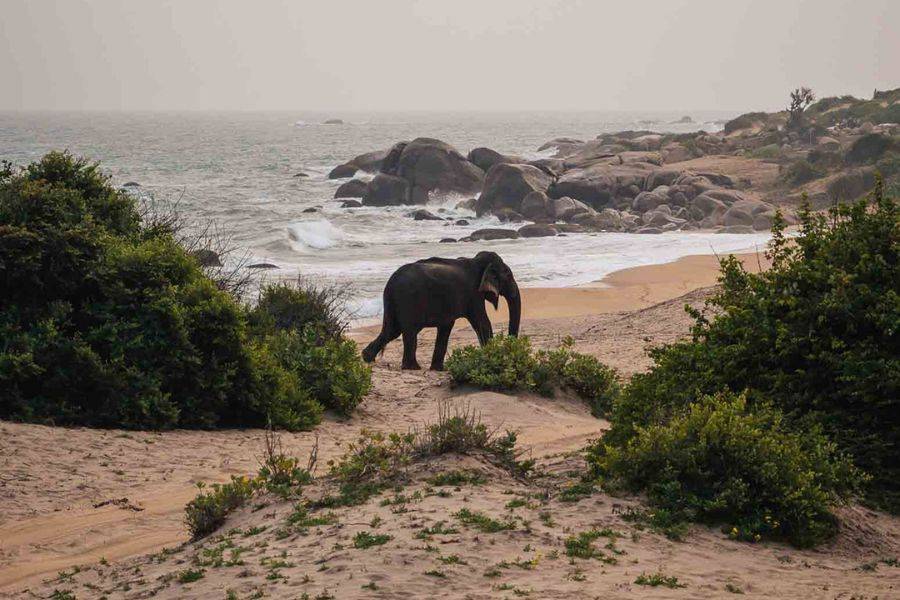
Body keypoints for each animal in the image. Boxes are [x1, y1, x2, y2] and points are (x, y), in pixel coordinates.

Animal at [361, 251, 521, 370]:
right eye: (508, 276)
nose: (509, 350)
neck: (476, 261)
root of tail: (390, 282)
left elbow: (446, 326)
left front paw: (437, 369)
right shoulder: (472, 294)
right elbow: (483, 323)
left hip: (394, 302)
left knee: (392, 330)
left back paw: (367, 358)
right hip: (408, 299)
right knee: (409, 330)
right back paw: (413, 367)